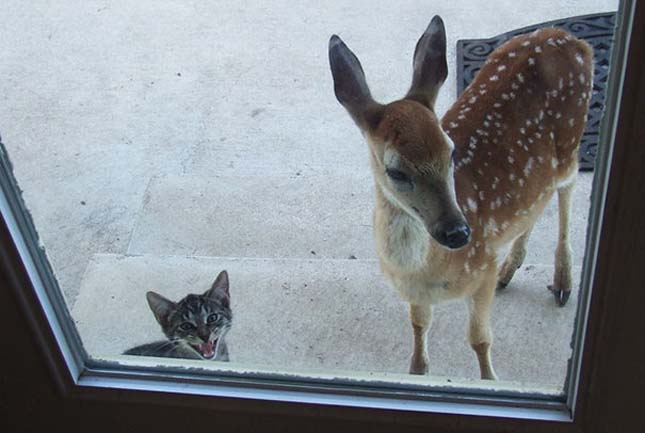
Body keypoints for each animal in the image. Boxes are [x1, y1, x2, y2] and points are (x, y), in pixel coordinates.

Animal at [332, 16, 592, 378]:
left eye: (451, 152)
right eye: (396, 172)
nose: (458, 232)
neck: (424, 270)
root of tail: (570, 39)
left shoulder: (482, 269)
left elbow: (480, 341)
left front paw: (491, 380)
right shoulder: (416, 293)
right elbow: (419, 326)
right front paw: (417, 370)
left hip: (571, 139)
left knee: (566, 187)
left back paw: (563, 280)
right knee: (538, 199)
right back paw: (511, 269)